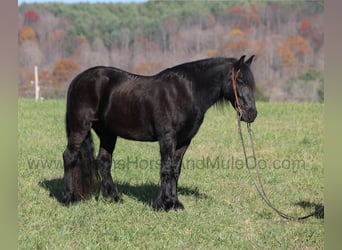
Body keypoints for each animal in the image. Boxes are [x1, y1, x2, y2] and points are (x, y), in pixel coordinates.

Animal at [62, 55, 258, 211]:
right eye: (240, 80)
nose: (251, 114)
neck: (186, 92)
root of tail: (77, 80)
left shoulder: (183, 141)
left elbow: (175, 170)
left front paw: (175, 203)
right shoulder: (167, 138)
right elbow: (166, 169)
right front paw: (163, 204)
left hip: (108, 134)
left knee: (103, 162)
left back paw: (114, 198)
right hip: (80, 127)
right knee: (69, 156)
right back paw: (68, 198)